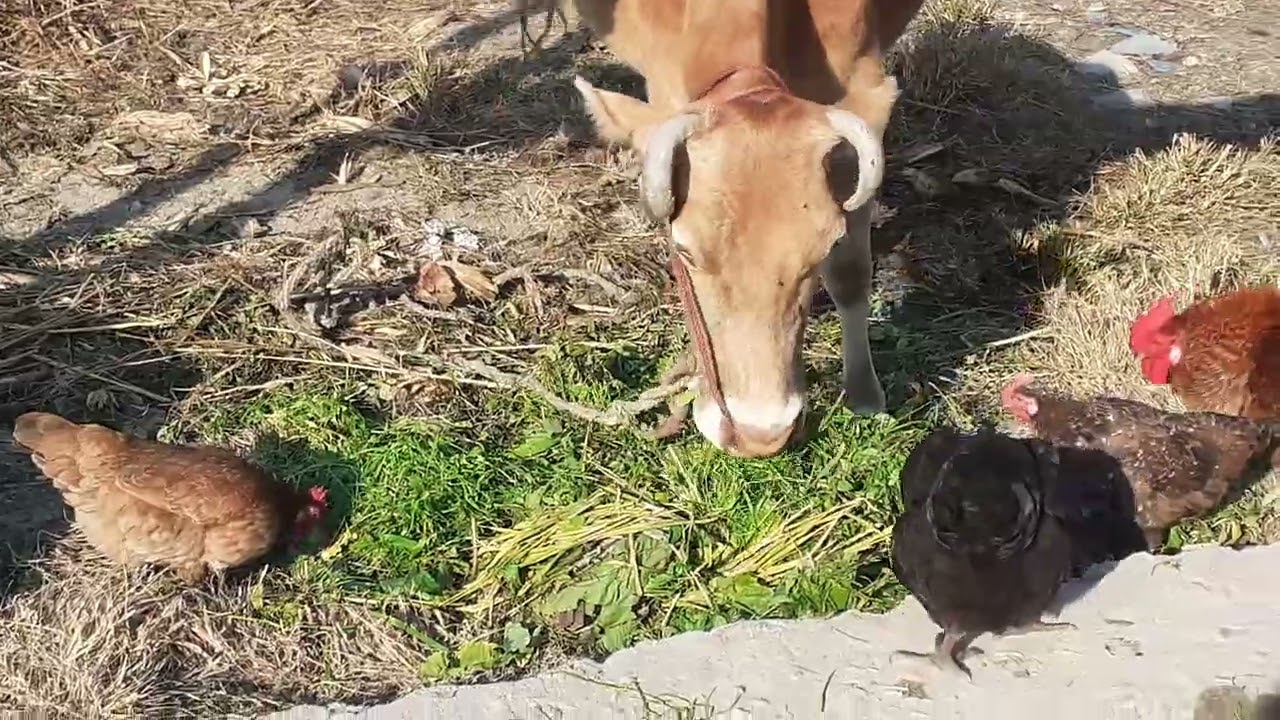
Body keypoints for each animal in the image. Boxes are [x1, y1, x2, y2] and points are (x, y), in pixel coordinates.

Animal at [525, 0, 926, 458]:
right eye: (682, 251)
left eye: (823, 249)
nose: (761, 435)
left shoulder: (859, 93)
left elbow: (850, 274)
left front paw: (863, 394)